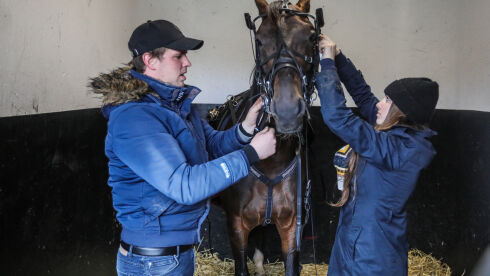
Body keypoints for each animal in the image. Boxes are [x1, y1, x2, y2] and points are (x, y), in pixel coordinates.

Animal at [208, 1, 326, 274]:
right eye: (260, 40)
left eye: (311, 37)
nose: (287, 111)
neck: (271, 163)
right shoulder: (236, 226)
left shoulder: (292, 226)